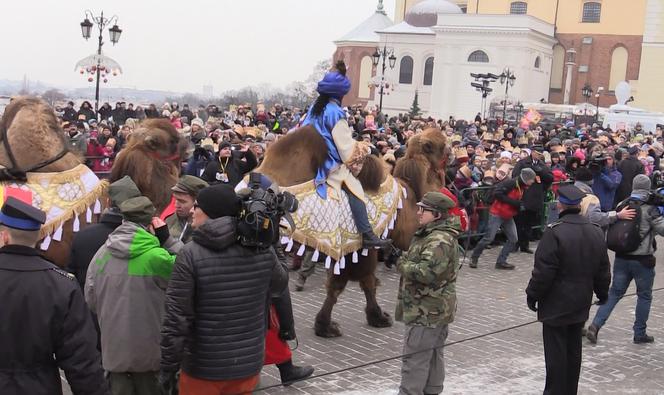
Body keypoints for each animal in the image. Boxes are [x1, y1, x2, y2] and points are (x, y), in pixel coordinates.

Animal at [254, 126, 446, 338]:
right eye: (443, 147)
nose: (451, 155)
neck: (407, 197)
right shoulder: (361, 247)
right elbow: (354, 283)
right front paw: (333, 325)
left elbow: (357, 283)